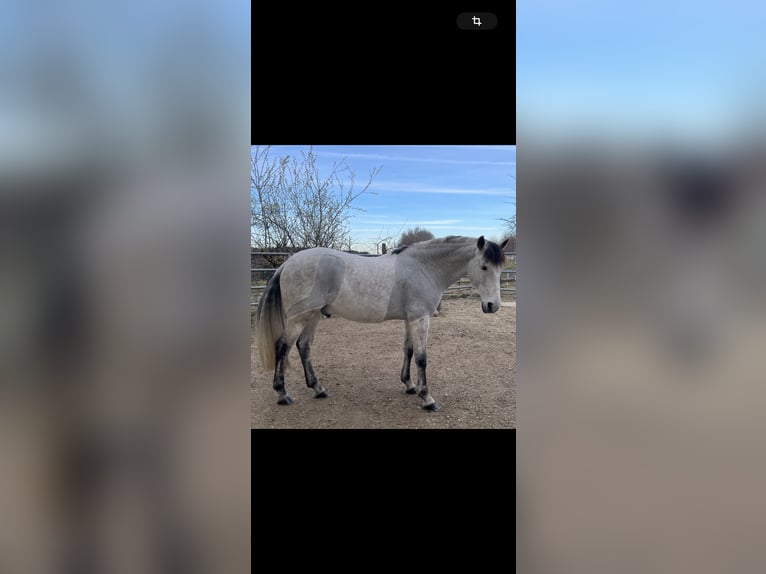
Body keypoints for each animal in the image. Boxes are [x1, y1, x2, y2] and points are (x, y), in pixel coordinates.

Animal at [256, 236, 510, 412]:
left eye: (500, 268)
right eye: (484, 266)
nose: (492, 306)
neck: (424, 268)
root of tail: (288, 264)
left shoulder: (410, 319)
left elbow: (408, 351)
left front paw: (409, 385)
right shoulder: (420, 318)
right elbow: (422, 358)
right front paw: (427, 399)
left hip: (313, 316)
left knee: (304, 347)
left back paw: (318, 389)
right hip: (299, 318)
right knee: (282, 347)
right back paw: (283, 394)